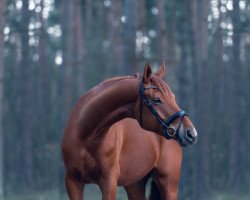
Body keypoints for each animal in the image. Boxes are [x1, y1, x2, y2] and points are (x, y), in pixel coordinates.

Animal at [61, 63, 197, 200]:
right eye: (156, 100)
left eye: (173, 97)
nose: (191, 133)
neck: (87, 136)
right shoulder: (72, 180)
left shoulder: (109, 181)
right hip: (135, 184)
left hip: (168, 183)